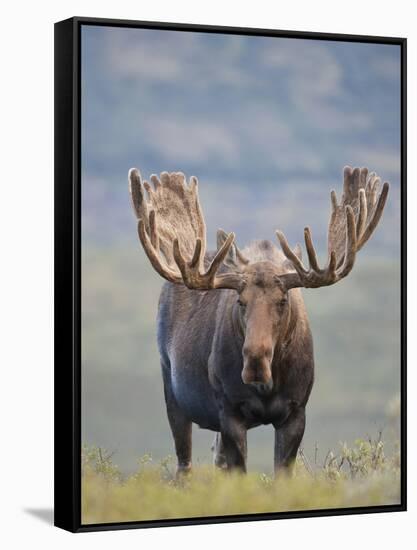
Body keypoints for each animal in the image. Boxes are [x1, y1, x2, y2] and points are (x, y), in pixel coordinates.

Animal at [128, 166, 388, 476]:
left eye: (283, 301)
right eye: (240, 301)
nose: (254, 361)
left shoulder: (296, 412)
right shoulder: (230, 411)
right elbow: (239, 472)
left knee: (216, 458)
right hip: (171, 385)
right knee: (184, 463)